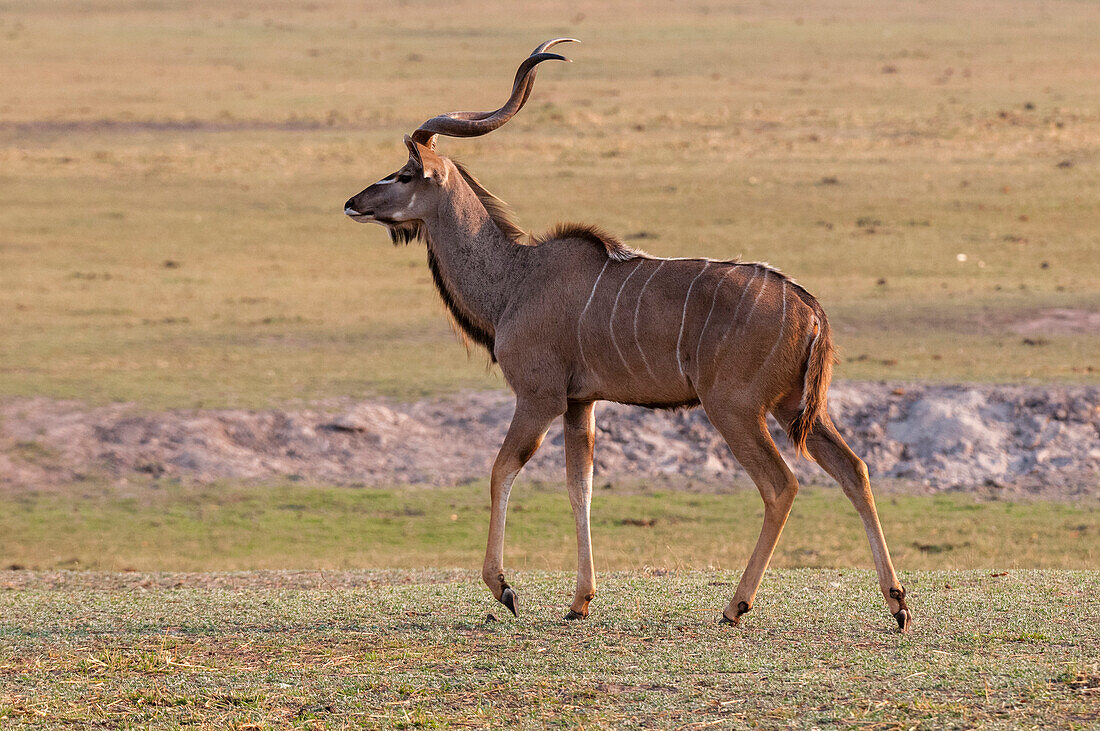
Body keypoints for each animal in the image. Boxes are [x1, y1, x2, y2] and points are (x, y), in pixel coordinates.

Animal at [343, 39, 910, 628]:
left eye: (404, 175)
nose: (353, 202)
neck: (515, 280)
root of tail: (809, 307)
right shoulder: (580, 403)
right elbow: (581, 488)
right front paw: (579, 601)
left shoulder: (539, 397)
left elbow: (502, 470)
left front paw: (504, 588)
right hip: (794, 406)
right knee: (854, 469)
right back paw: (896, 603)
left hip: (734, 407)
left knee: (781, 485)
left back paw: (736, 606)